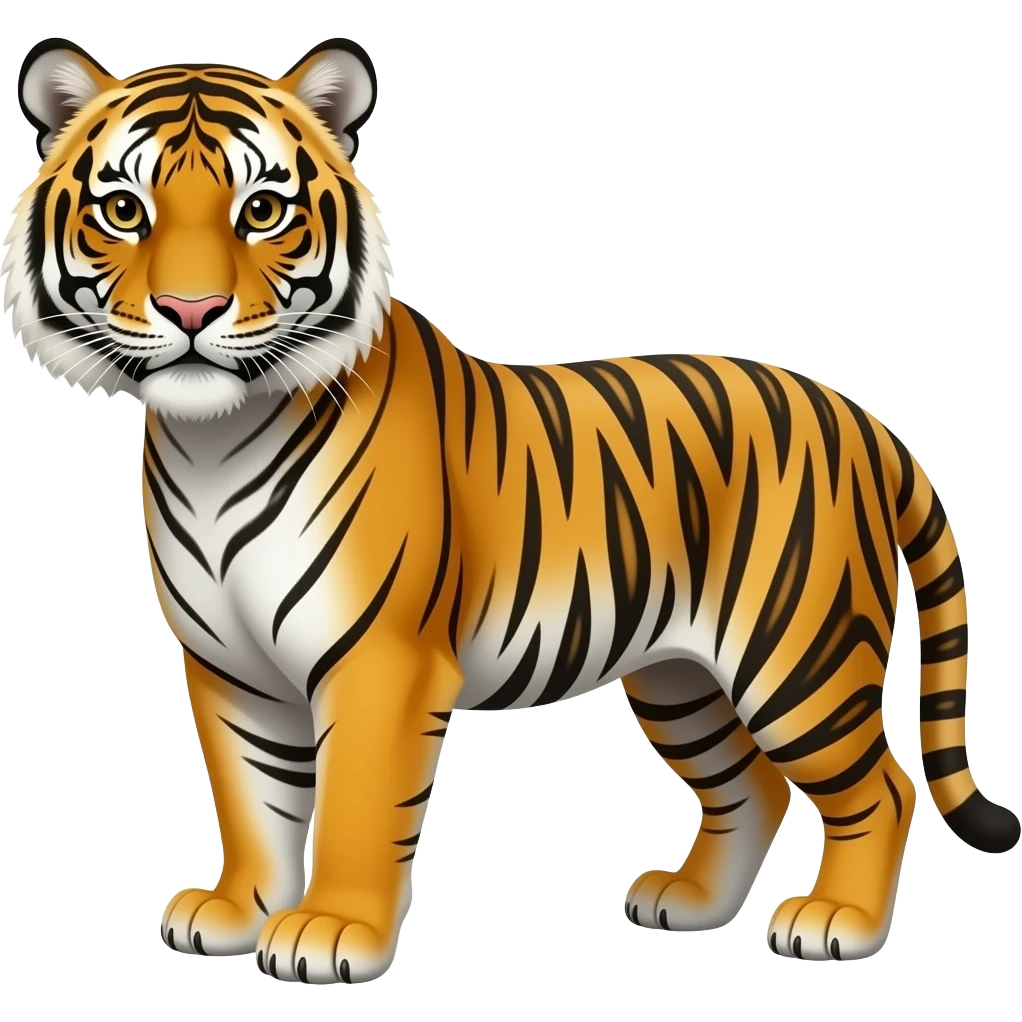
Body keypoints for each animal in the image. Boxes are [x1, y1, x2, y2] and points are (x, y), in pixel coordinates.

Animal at [3, 34, 1017, 986]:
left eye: (262, 211)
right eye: (124, 210)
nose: (191, 309)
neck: (212, 437)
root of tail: (860, 417)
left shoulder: (380, 661)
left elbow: (355, 807)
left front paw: (331, 932)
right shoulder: (229, 667)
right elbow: (252, 799)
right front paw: (233, 910)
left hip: (798, 655)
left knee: (881, 787)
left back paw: (837, 923)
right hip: (680, 676)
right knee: (751, 788)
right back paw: (689, 903)